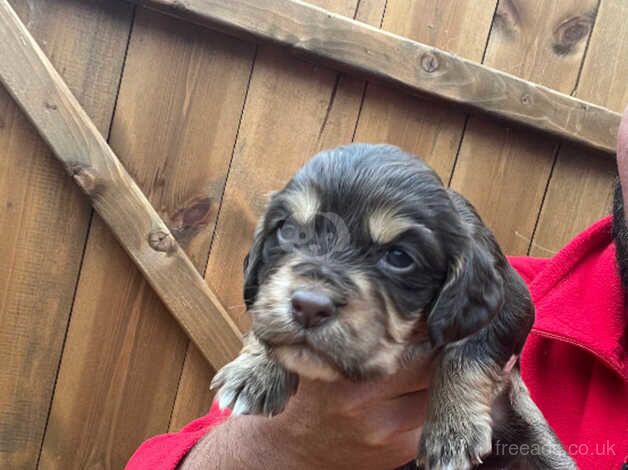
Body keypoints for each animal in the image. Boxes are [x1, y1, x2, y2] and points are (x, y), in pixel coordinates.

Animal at [213, 144, 576, 470]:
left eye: (399, 257)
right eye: (289, 230)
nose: (309, 307)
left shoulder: (511, 303)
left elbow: (468, 349)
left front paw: (452, 430)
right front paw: (256, 371)